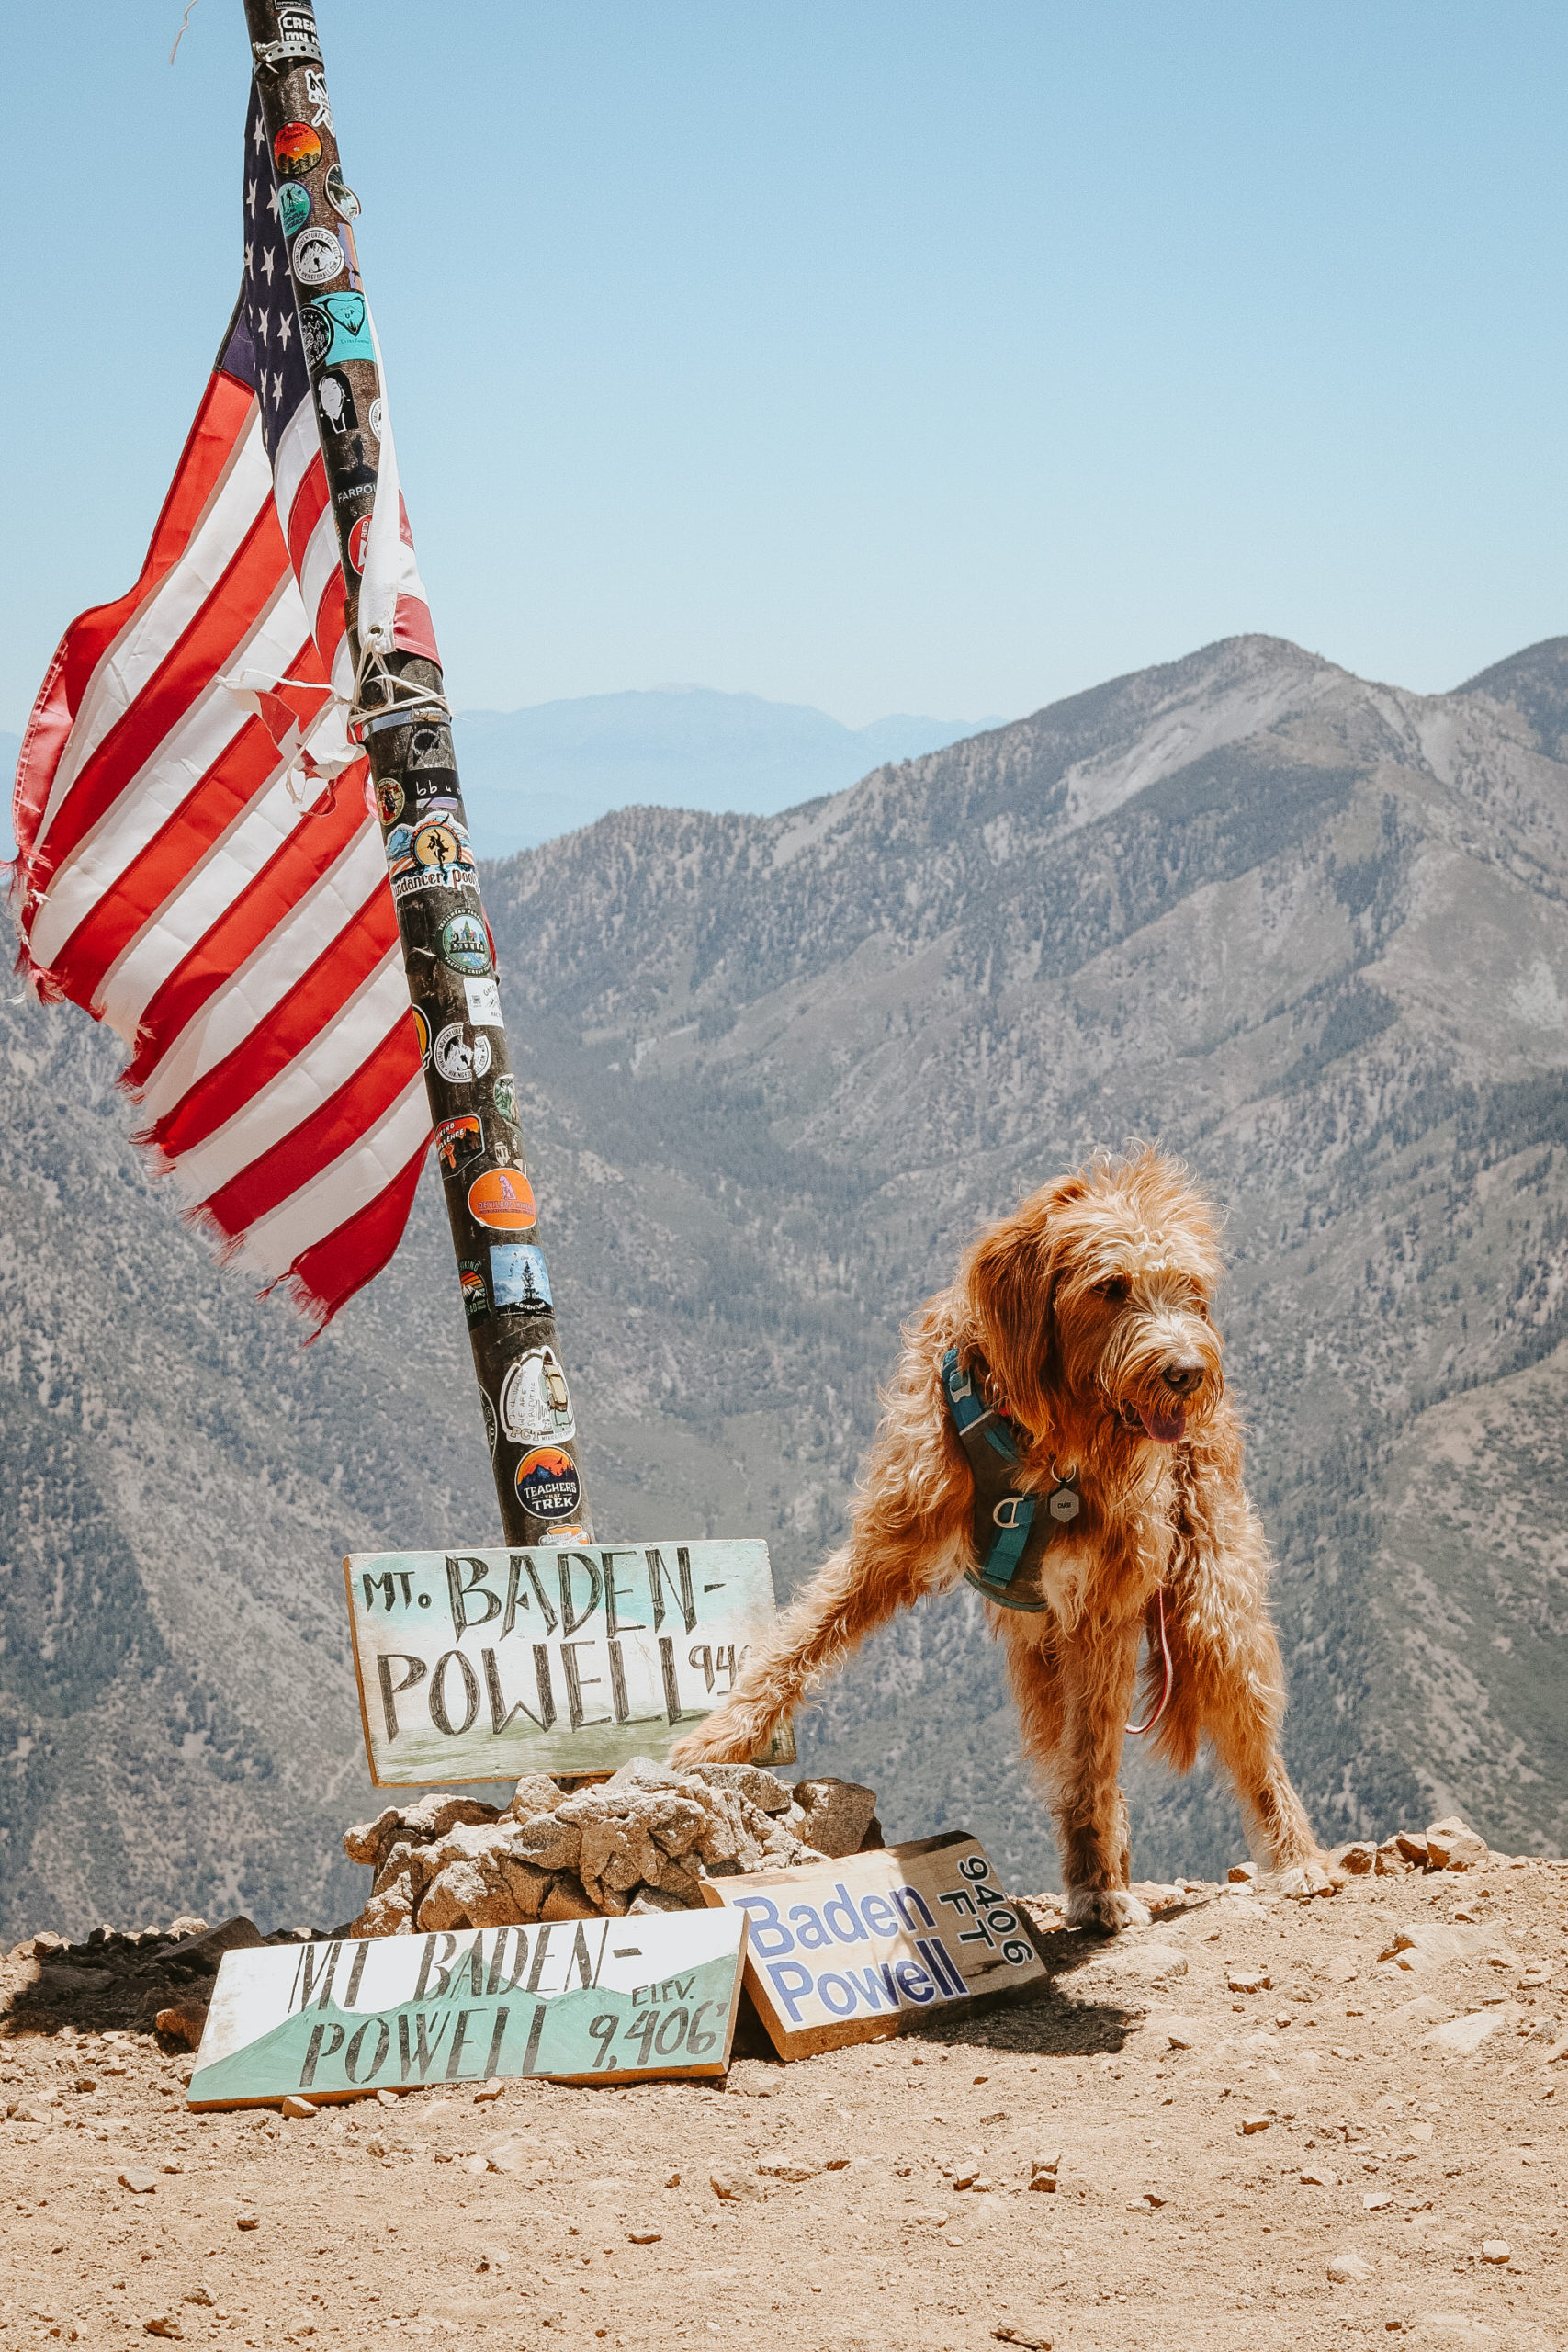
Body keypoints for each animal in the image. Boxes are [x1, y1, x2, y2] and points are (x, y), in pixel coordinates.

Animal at [667, 1143, 1335, 1928]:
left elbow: (1094, 1757)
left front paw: (1099, 1885)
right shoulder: (891, 1542)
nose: (1187, 1374)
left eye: (1188, 1288)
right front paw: (715, 1741)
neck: (1042, 1439)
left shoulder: (1103, 1605)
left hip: (1209, 1595)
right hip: (1039, 1653)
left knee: (1237, 1730)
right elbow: (797, 1643)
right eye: (1110, 1287)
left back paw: (1293, 1857)